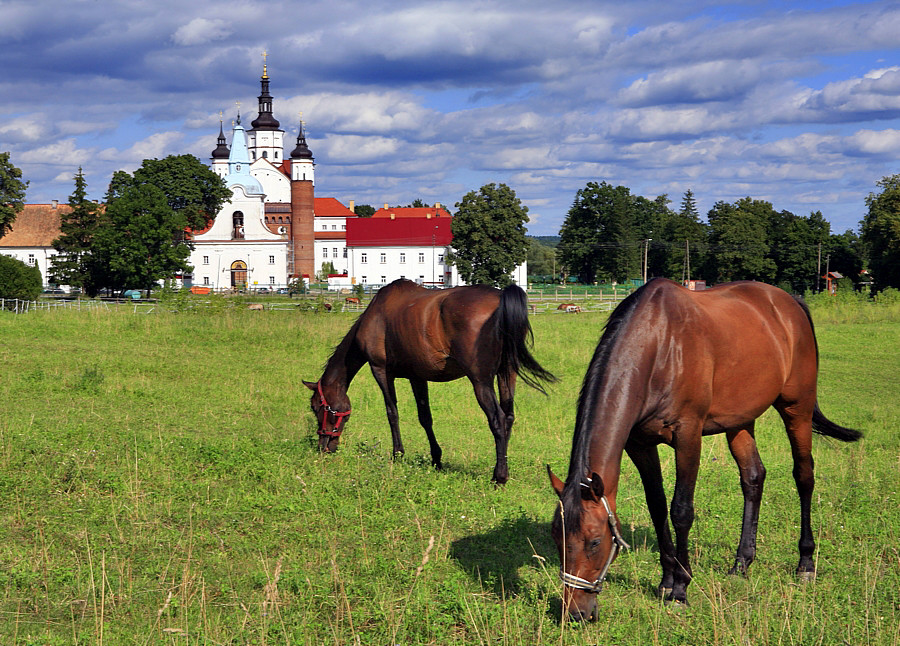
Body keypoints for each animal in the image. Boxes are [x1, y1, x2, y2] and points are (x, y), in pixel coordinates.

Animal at [306, 280, 556, 484]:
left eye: (317, 407)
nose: (323, 447)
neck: (376, 314)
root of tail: (500, 298)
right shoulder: (417, 376)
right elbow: (425, 418)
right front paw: (436, 459)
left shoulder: (380, 370)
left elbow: (392, 413)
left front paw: (398, 454)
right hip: (506, 374)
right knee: (509, 418)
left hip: (481, 382)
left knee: (498, 420)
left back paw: (499, 477)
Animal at [544, 280, 860, 624]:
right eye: (556, 538)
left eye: (595, 542)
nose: (576, 612)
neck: (660, 346)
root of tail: (789, 302)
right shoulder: (640, 444)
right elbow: (657, 508)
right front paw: (667, 580)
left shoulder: (688, 436)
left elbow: (681, 511)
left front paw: (681, 589)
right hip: (740, 421)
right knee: (753, 478)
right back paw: (741, 564)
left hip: (796, 408)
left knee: (804, 476)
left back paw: (805, 563)